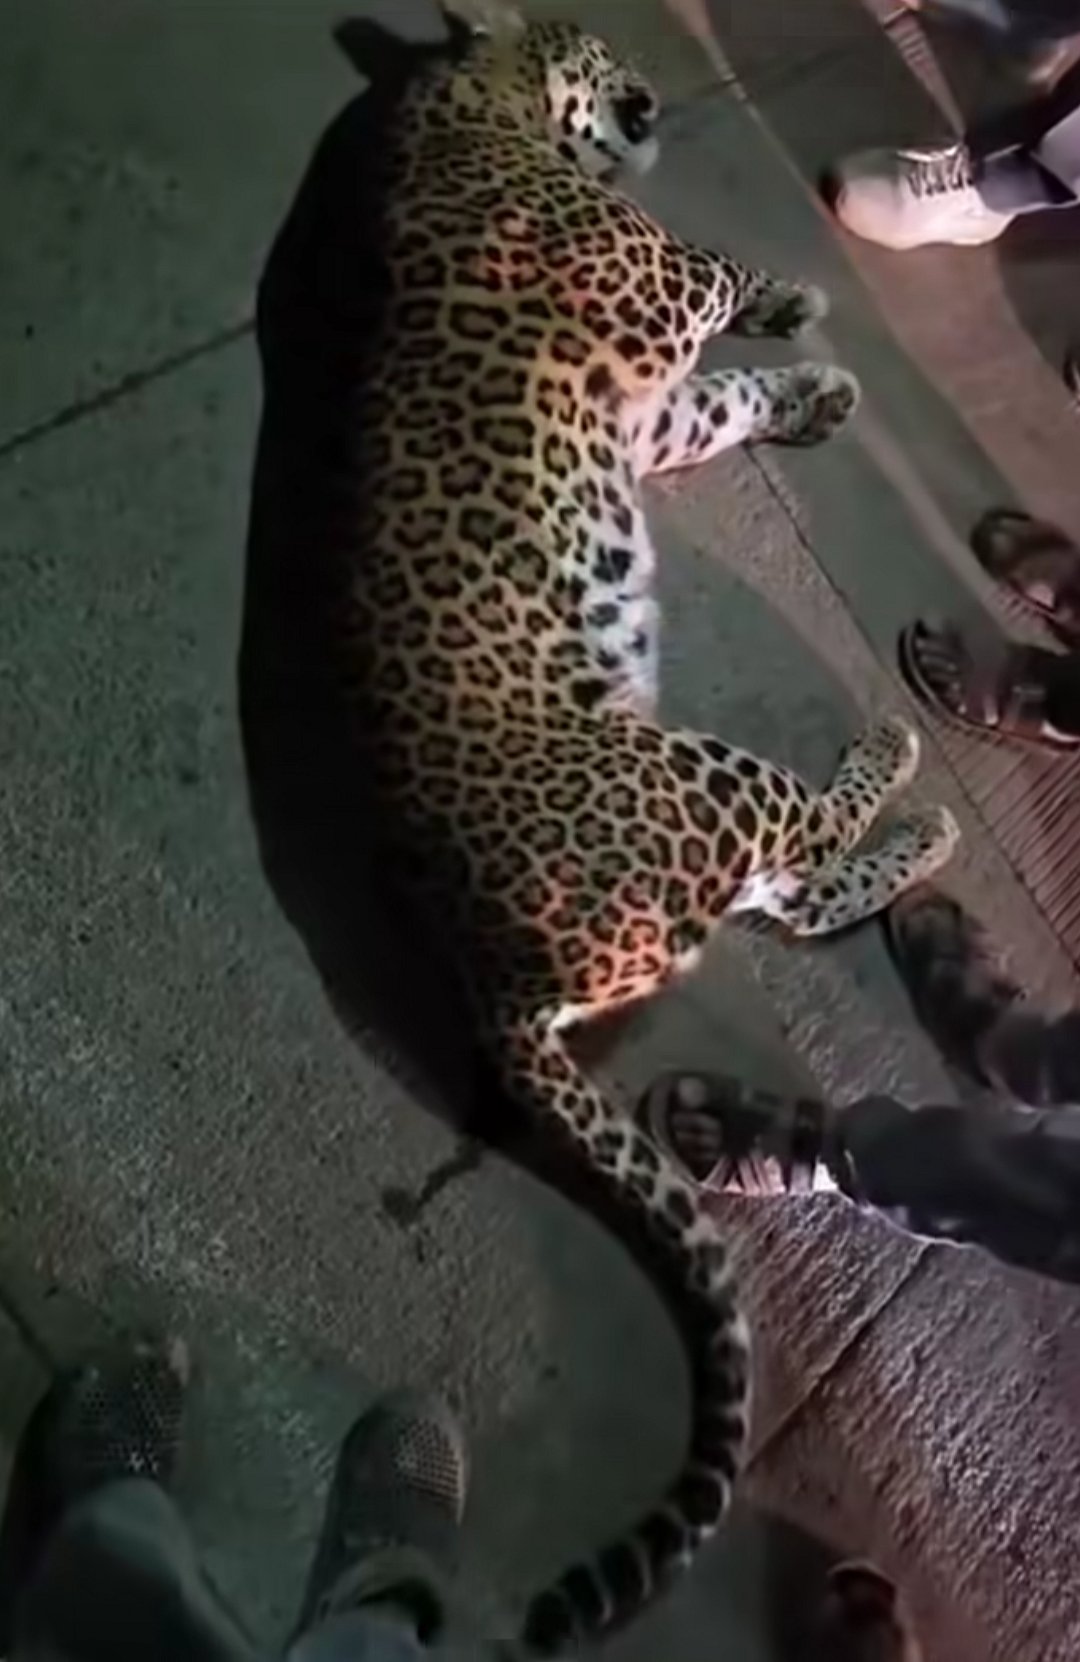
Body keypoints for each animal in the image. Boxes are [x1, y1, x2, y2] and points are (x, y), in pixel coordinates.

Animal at [252, 11, 959, 1653]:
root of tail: (484, 972)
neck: (463, 94)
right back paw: (904, 767)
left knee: (790, 898)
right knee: (797, 858)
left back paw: (916, 835)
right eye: (595, 28)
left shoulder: (658, 392)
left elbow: (728, 397)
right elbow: (714, 273)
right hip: (683, 774)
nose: (646, 90)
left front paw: (814, 387)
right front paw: (795, 304)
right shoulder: (647, 282)